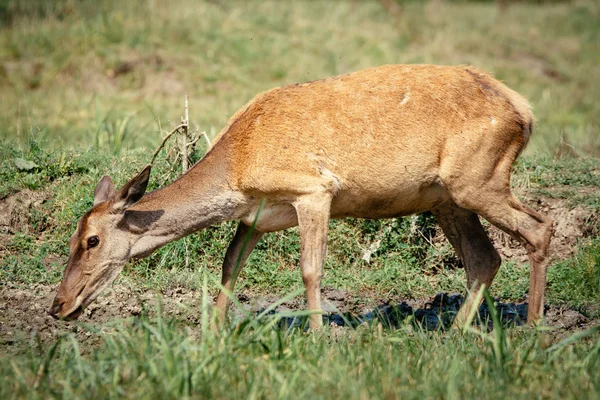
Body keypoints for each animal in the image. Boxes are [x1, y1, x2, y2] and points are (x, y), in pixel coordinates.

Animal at [49, 65, 556, 328]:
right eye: (72, 238)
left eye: (91, 240)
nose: (58, 305)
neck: (238, 168)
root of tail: (526, 111)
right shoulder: (257, 216)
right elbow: (229, 266)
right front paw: (211, 333)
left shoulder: (313, 189)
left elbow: (311, 270)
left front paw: (317, 337)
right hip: (446, 197)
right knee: (484, 258)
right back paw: (454, 334)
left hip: (479, 178)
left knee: (539, 227)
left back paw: (533, 328)